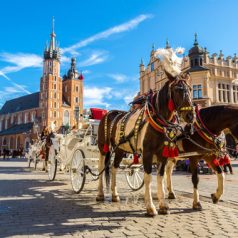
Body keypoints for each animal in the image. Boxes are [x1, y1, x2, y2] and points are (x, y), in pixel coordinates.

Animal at [96, 46, 194, 216]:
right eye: (178, 89)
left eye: (189, 88)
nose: (190, 115)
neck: (158, 119)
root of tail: (109, 113)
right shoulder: (147, 153)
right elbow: (148, 177)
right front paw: (150, 207)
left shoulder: (163, 154)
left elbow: (160, 177)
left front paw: (163, 205)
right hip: (104, 147)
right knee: (102, 166)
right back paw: (100, 194)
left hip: (121, 149)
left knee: (114, 168)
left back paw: (115, 195)